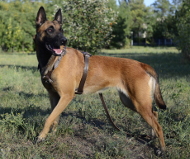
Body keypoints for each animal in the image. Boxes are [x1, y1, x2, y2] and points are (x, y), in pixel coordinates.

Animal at [34, 6, 166, 153]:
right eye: (50, 30)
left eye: (61, 30)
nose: (64, 40)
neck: (55, 60)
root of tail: (141, 64)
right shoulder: (54, 96)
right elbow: (54, 118)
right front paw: (52, 135)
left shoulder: (66, 96)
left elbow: (49, 118)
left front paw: (41, 137)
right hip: (130, 102)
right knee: (155, 114)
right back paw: (153, 137)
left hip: (139, 103)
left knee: (158, 125)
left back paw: (162, 149)